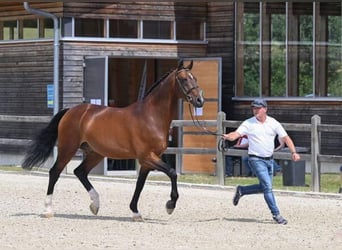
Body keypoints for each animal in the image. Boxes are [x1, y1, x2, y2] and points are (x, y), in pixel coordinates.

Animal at [22, 60, 203, 221]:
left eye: (195, 78)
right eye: (184, 79)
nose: (199, 100)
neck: (151, 116)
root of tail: (70, 111)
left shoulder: (148, 161)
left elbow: (140, 184)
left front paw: (136, 212)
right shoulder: (147, 156)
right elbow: (172, 173)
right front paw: (170, 205)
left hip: (96, 153)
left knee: (80, 172)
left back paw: (95, 205)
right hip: (68, 148)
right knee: (55, 172)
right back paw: (48, 210)